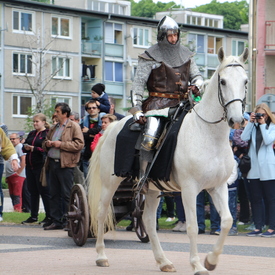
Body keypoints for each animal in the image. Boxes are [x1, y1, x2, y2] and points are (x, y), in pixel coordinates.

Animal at [88, 47, 250, 274]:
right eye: (223, 81)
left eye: (245, 81)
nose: (237, 120)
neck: (208, 134)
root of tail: (111, 127)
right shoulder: (190, 189)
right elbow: (192, 226)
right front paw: (197, 264)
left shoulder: (218, 187)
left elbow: (226, 221)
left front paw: (211, 260)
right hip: (110, 182)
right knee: (102, 212)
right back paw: (101, 256)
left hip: (152, 189)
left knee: (147, 221)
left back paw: (163, 261)